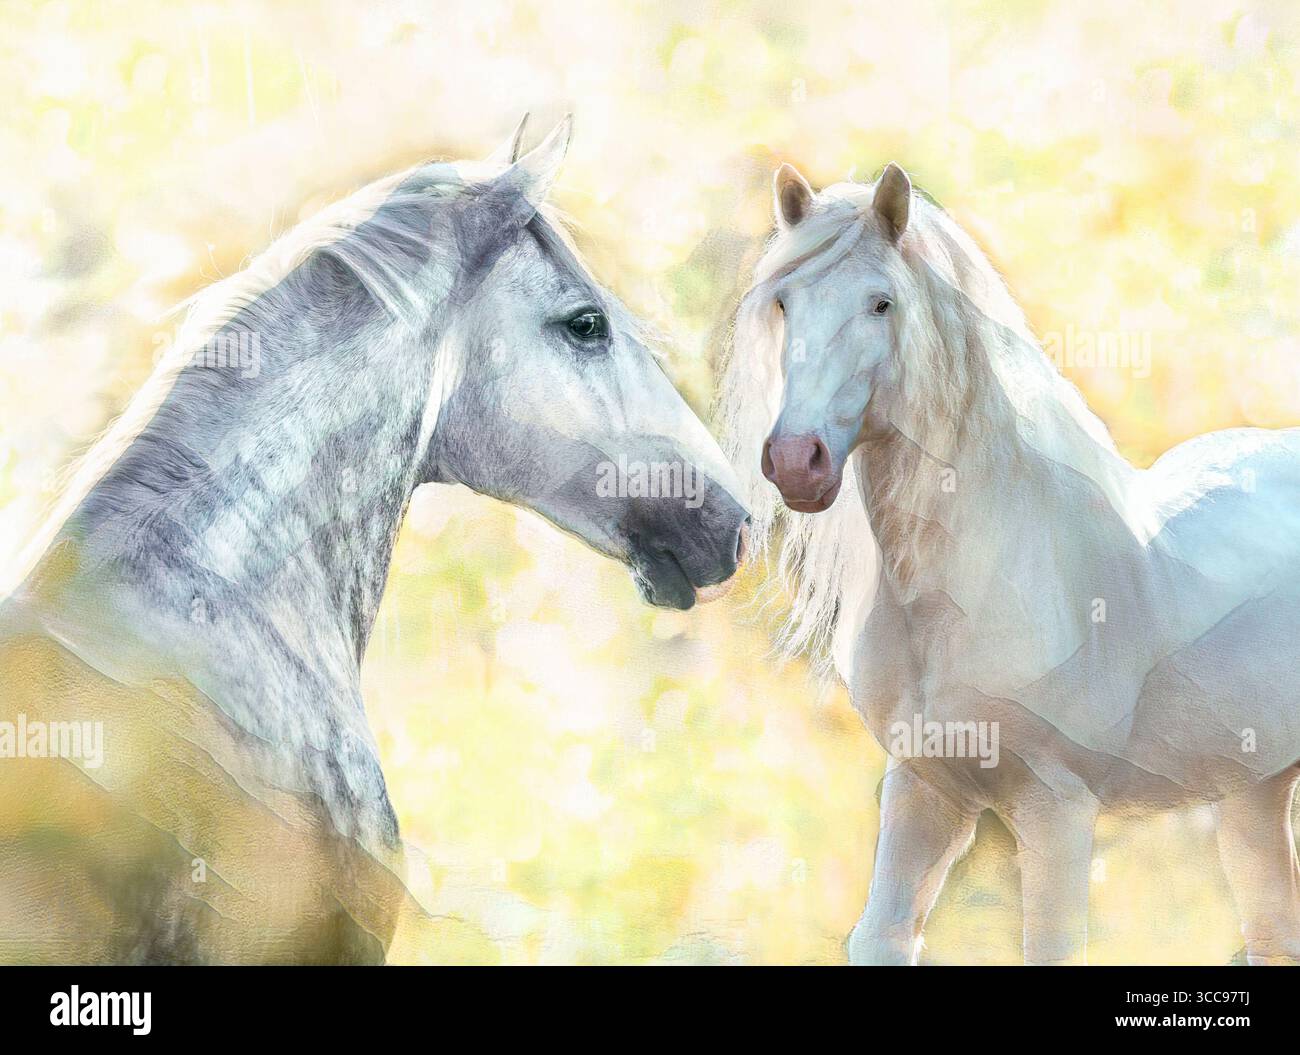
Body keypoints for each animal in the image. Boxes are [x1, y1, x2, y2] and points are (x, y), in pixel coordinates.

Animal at [720, 159, 1300, 965]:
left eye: (881, 303)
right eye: (784, 302)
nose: (796, 461)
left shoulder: (1057, 810)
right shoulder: (924, 790)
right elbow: (882, 934)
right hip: (1255, 790)